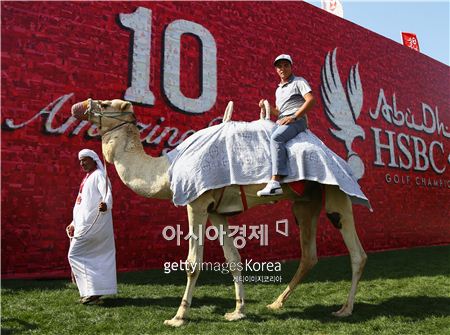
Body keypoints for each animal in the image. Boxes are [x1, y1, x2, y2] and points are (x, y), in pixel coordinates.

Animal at [70, 98, 366, 328]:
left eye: (105, 104)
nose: (77, 106)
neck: (167, 170)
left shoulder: (197, 203)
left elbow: (192, 263)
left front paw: (178, 317)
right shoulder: (217, 212)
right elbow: (233, 258)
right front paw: (238, 311)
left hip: (336, 193)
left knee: (356, 252)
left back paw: (345, 309)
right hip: (305, 202)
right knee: (309, 254)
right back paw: (276, 303)